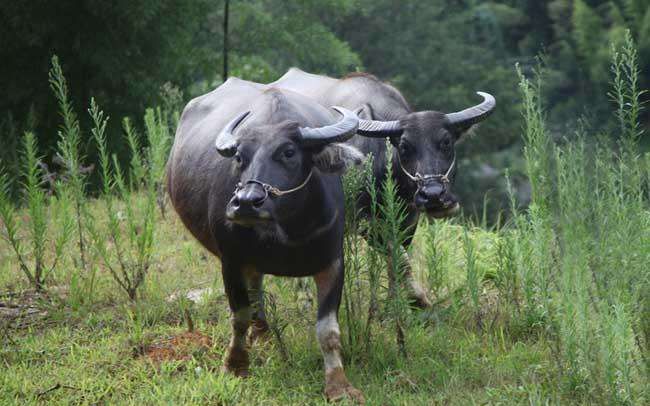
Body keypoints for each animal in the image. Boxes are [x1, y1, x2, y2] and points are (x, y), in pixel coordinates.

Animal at [165, 78, 368, 402]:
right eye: (239, 157)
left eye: (288, 152)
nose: (247, 202)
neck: (286, 231)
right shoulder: (232, 261)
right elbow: (239, 316)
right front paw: (235, 366)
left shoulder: (333, 263)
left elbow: (328, 330)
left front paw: (339, 384)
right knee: (255, 296)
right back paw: (261, 335)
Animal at [270, 68, 494, 308]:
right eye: (404, 147)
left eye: (446, 142)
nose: (434, 196)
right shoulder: (365, 220)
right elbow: (397, 255)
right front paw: (417, 297)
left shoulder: (408, 218)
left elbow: (397, 258)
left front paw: (395, 301)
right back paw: (304, 299)